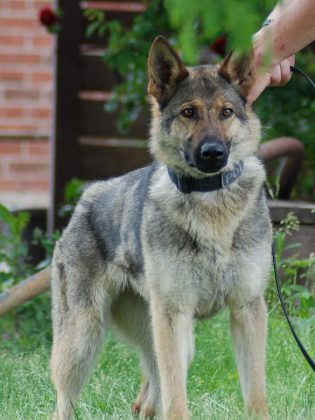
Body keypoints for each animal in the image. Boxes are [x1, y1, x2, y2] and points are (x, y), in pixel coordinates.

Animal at [50, 37, 272, 420]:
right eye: (189, 112)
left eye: (226, 112)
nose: (213, 153)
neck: (209, 200)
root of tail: (88, 197)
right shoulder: (173, 314)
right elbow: (176, 399)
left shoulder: (247, 308)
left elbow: (256, 395)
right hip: (83, 342)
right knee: (66, 403)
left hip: (173, 342)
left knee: (147, 395)